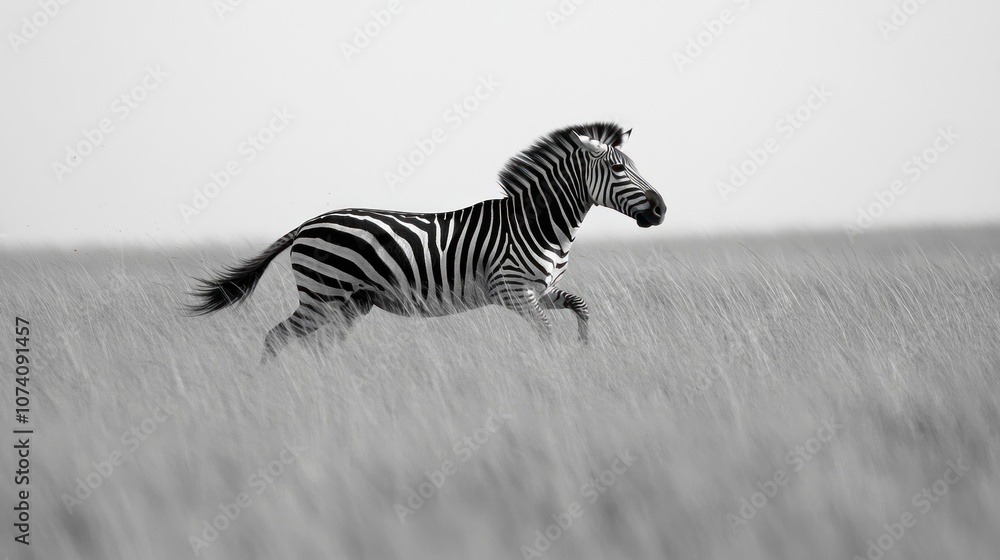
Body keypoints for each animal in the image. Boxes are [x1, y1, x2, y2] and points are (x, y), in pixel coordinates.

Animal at [188, 122, 665, 361]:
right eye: (619, 169)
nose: (661, 209)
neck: (539, 223)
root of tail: (310, 222)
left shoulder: (540, 289)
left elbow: (581, 306)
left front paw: (584, 351)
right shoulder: (510, 290)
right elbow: (547, 333)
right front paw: (555, 368)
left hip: (349, 303)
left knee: (318, 347)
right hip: (323, 295)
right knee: (276, 338)